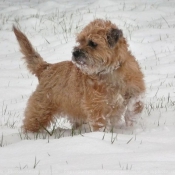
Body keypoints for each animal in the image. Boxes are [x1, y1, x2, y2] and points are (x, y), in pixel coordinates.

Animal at [13, 18, 146, 131]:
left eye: (92, 43)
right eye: (80, 41)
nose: (75, 52)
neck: (109, 71)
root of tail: (46, 67)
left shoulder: (135, 89)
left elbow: (135, 104)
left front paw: (132, 122)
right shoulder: (96, 106)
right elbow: (100, 123)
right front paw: (102, 135)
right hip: (41, 109)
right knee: (31, 122)